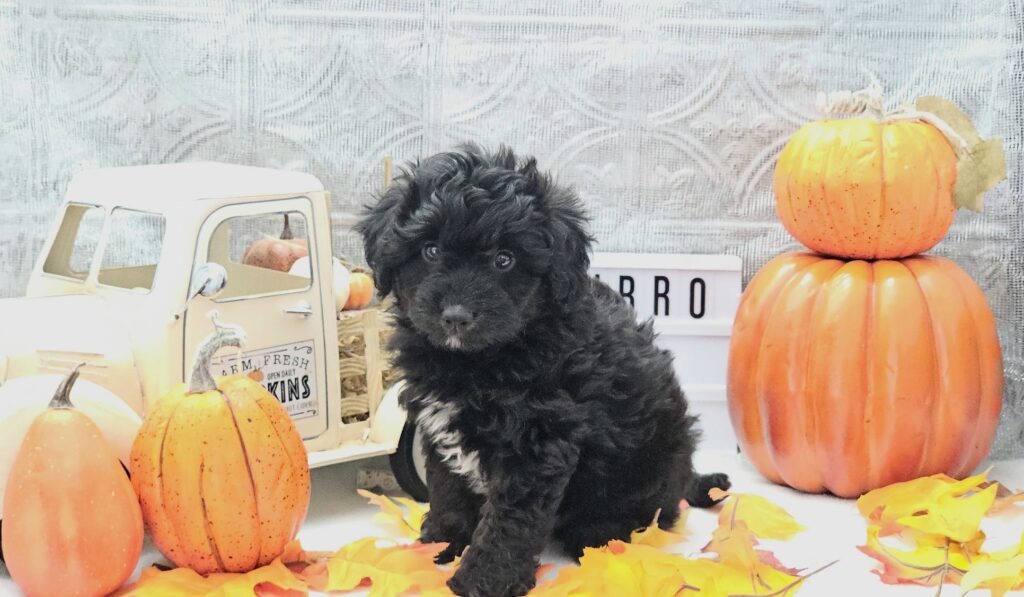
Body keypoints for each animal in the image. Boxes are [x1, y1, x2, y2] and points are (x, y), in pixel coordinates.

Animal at [358, 144, 729, 597]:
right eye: (429, 251)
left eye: (504, 259)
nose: (456, 316)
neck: (476, 362)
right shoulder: (437, 426)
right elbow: (448, 490)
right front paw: (438, 547)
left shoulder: (538, 440)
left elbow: (509, 522)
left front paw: (482, 580)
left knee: (651, 513)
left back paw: (600, 533)